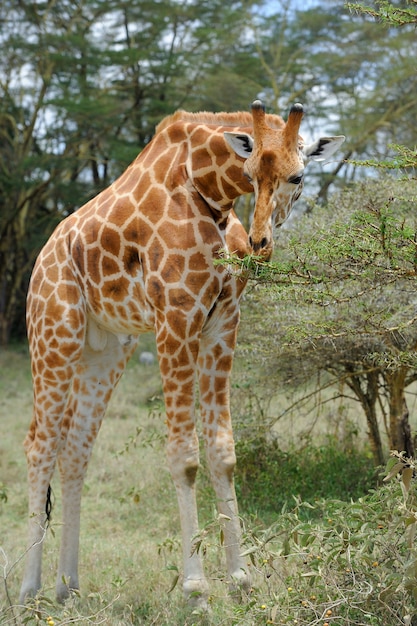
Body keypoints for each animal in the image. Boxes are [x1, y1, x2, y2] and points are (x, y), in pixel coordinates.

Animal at [19, 98, 342, 604]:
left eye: (298, 176)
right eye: (248, 172)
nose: (260, 244)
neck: (208, 191)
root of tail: (42, 259)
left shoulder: (223, 324)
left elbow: (223, 452)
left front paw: (240, 578)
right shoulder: (175, 318)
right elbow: (184, 456)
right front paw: (195, 589)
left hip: (107, 351)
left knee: (75, 449)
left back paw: (68, 586)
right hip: (54, 335)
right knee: (39, 445)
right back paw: (29, 591)